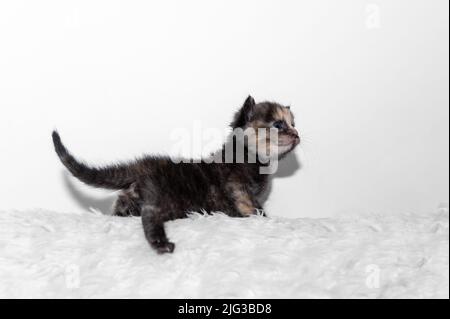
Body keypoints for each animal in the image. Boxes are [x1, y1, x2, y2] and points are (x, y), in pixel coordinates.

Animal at [51, 96, 298, 254]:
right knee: (149, 214)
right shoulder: (239, 191)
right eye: (278, 124)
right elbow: (256, 211)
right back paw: (161, 243)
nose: (297, 135)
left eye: (294, 124)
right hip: (164, 197)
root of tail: (142, 165)